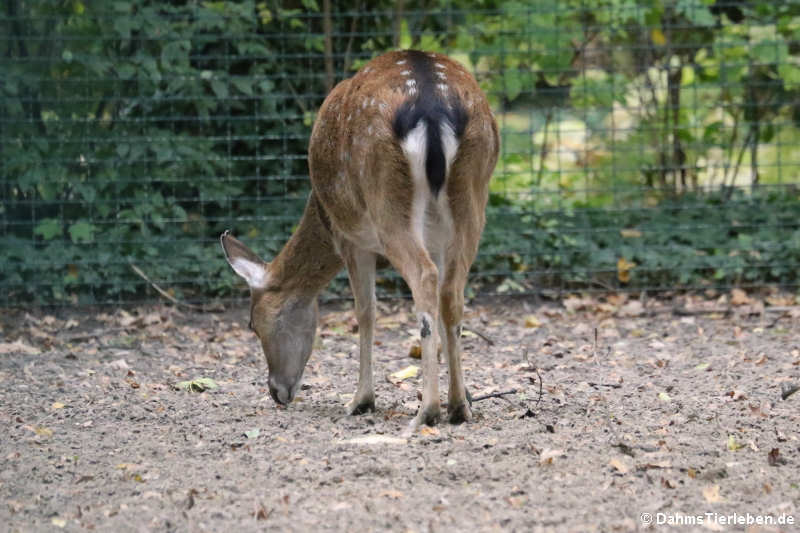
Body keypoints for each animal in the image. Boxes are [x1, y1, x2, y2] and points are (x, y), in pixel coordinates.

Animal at [222, 50, 500, 432]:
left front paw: (360, 400)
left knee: (424, 277)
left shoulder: (351, 240)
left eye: (252, 323)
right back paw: (458, 406)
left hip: (385, 198)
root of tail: (432, 105)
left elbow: (365, 312)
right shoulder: (436, 238)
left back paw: (426, 410)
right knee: (452, 293)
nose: (276, 391)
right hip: (473, 197)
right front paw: (467, 396)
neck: (321, 213)